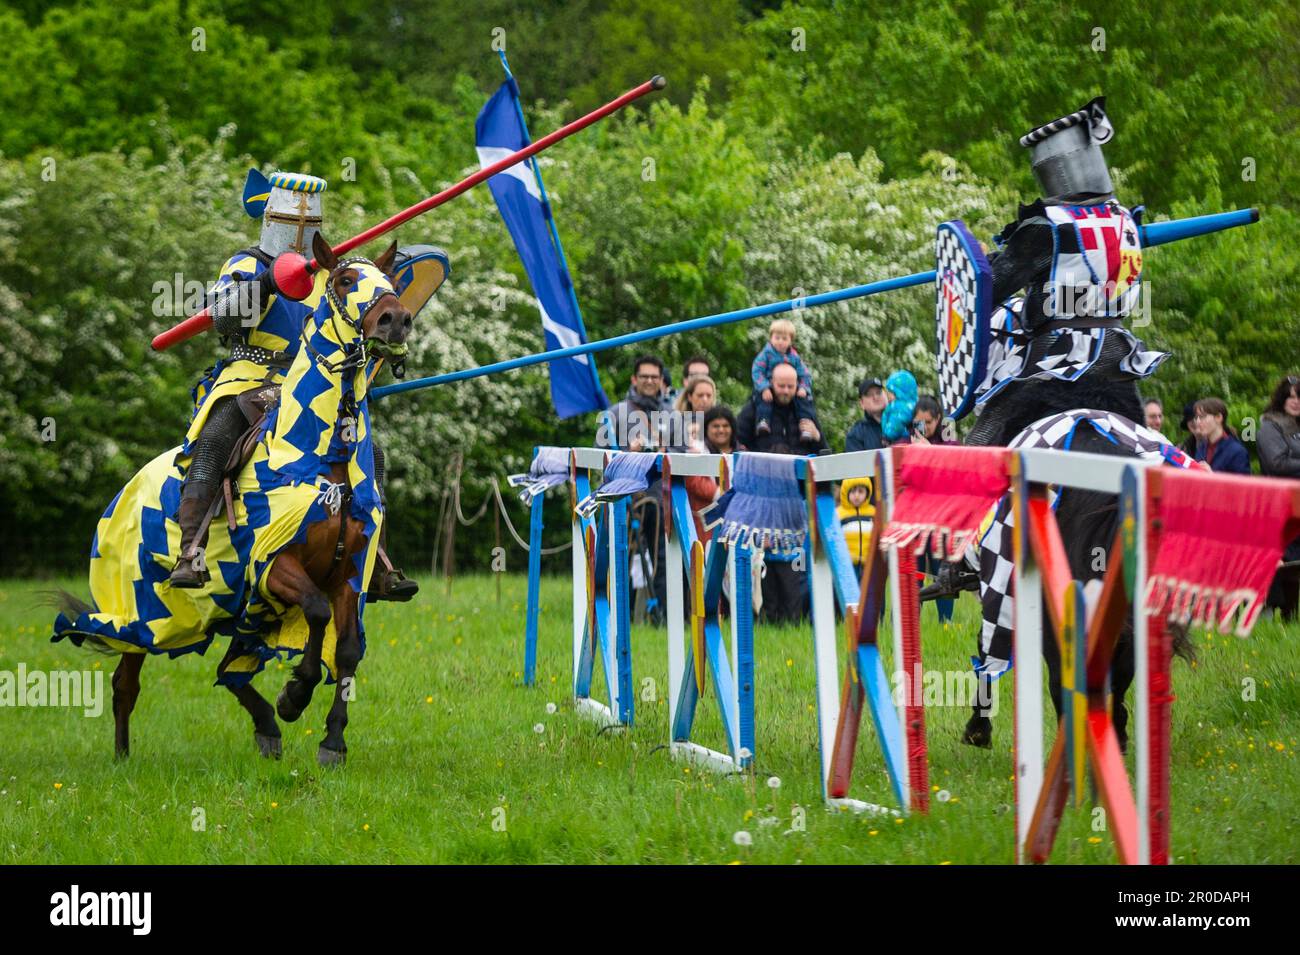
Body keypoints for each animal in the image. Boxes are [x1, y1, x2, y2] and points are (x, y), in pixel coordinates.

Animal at [50, 235, 410, 764]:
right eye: (346, 280)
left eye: (390, 283)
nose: (396, 319)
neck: (322, 455)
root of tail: (122, 496)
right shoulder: (272, 567)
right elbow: (316, 613)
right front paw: (294, 696)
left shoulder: (350, 573)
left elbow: (346, 650)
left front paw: (332, 740)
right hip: (139, 608)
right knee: (126, 681)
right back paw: (122, 757)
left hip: (222, 610)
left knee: (228, 669)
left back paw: (264, 726)